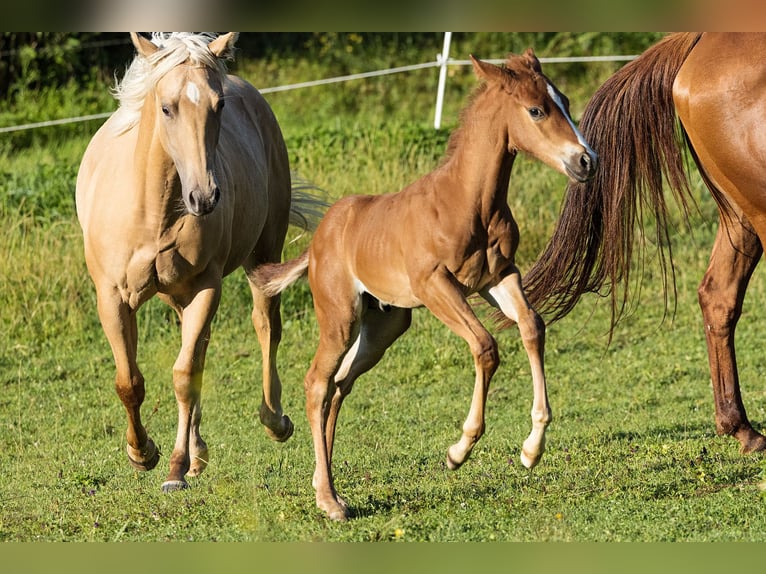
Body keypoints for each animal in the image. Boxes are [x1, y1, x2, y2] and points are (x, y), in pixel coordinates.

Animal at [75, 35, 320, 496]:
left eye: (218, 105)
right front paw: (142, 453)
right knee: (202, 349)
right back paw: (197, 454)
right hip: (177, 296)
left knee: (265, 326)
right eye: (167, 107)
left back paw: (272, 422)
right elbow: (129, 382)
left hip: (263, 254)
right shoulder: (112, 298)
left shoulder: (206, 287)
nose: (204, 197)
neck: (153, 211)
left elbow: (184, 376)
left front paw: (173, 466)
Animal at [258, 50, 600, 520]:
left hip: (385, 326)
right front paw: (459, 451)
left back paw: (326, 488)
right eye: (536, 110)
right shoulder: (434, 284)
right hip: (340, 317)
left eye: (563, 100)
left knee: (340, 384)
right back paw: (329, 500)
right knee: (317, 384)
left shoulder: (498, 276)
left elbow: (532, 327)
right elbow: (485, 347)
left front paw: (532, 449)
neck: (468, 202)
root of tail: (318, 239)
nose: (586, 161)